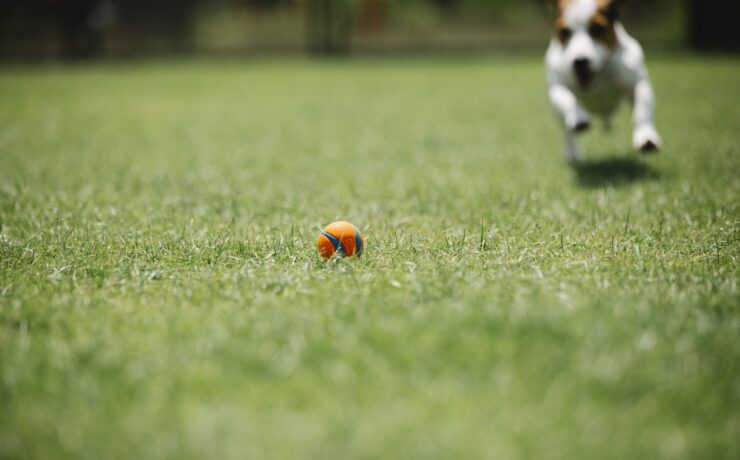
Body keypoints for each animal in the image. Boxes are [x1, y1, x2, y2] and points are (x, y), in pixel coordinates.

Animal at [548, 0, 660, 164]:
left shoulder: (638, 83)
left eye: (598, 28)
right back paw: (573, 153)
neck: (599, 78)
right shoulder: (557, 87)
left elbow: (642, 110)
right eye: (565, 32)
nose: (580, 61)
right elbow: (569, 99)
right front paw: (579, 117)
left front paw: (646, 136)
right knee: (566, 132)